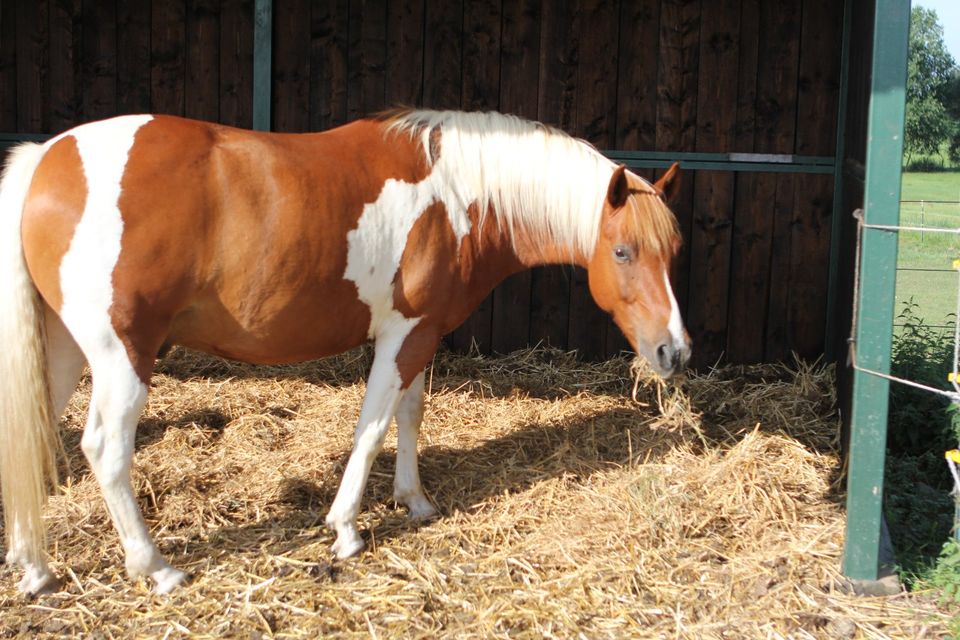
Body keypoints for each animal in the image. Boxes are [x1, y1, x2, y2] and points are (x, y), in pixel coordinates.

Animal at [0, 107, 688, 592]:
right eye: (623, 251)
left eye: (672, 252)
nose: (674, 352)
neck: (459, 192)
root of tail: (45, 159)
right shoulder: (402, 335)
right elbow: (373, 427)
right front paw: (347, 529)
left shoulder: (421, 333)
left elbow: (409, 416)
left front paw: (414, 501)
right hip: (123, 356)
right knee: (105, 450)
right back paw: (156, 566)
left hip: (63, 350)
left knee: (34, 433)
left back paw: (35, 568)